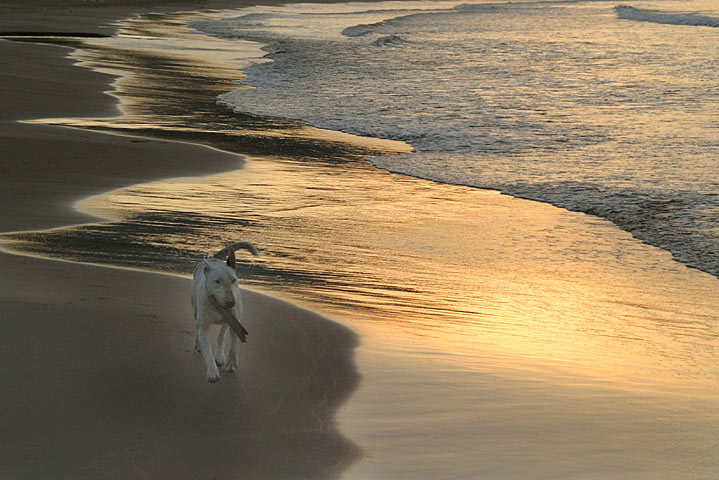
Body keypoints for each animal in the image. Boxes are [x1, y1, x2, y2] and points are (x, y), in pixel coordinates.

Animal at [191, 242, 258, 384]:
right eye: (217, 281)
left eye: (234, 280)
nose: (231, 303)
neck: (218, 306)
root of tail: (213, 259)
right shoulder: (204, 326)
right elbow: (207, 349)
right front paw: (212, 372)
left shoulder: (234, 320)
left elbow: (233, 342)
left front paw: (231, 363)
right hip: (195, 310)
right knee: (197, 326)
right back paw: (197, 345)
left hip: (227, 321)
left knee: (221, 335)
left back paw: (220, 357)